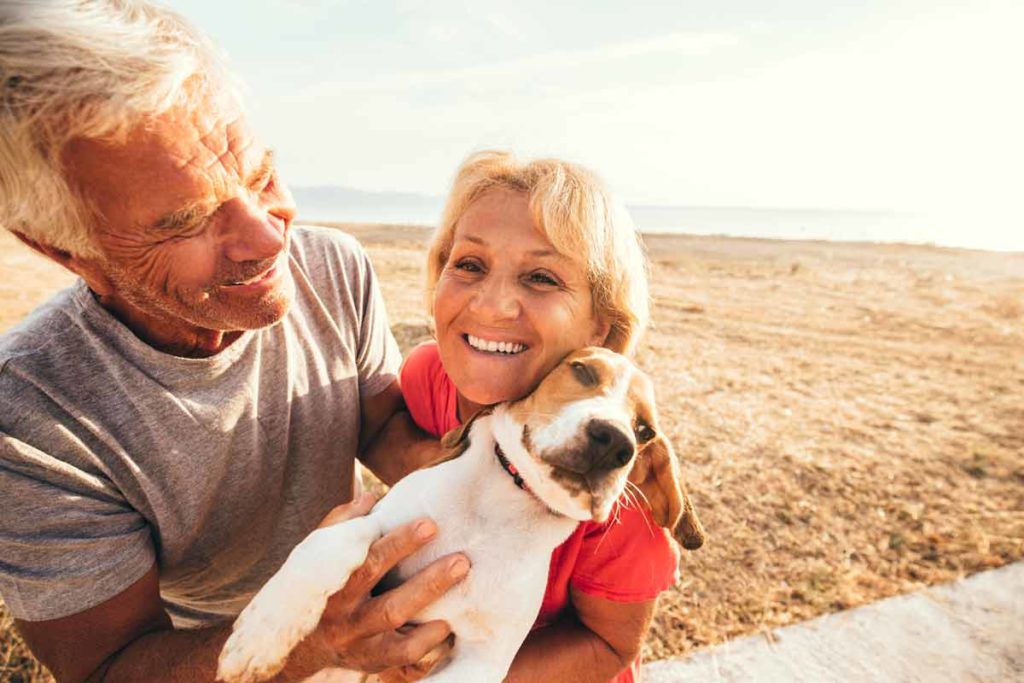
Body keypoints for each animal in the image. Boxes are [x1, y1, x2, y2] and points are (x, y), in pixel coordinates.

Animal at [218, 350, 704, 679]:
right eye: (582, 370)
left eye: (645, 430)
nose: (615, 442)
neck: (502, 504)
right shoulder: (381, 518)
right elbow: (333, 544)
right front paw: (259, 639)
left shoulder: (483, 658)